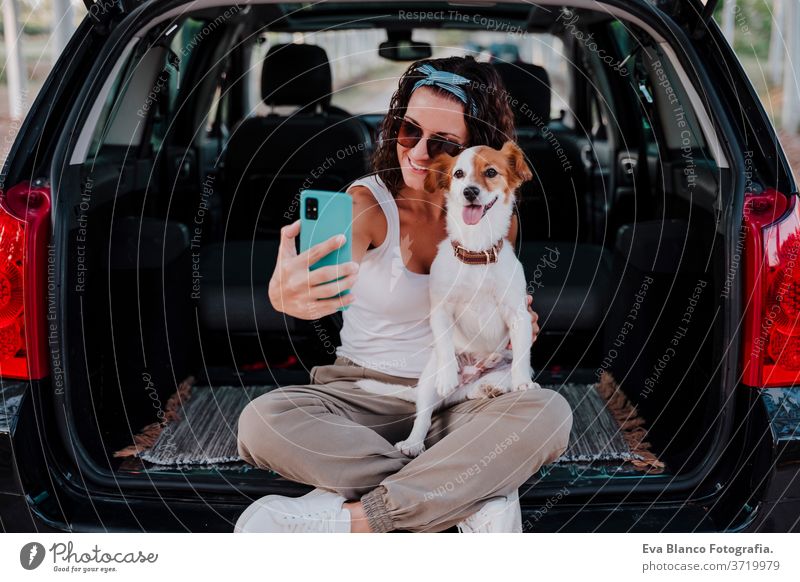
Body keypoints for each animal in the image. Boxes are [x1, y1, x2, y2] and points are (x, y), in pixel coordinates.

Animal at [358, 139, 540, 458]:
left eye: (490, 172)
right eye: (458, 174)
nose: (470, 191)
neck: (476, 253)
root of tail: (470, 377)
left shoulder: (518, 315)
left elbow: (520, 356)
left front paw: (521, 385)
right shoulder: (441, 311)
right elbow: (443, 344)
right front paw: (447, 376)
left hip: (494, 369)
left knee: (485, 384)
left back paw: (489, 386)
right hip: (427, 381)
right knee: (424, 415)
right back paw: (414, 440)